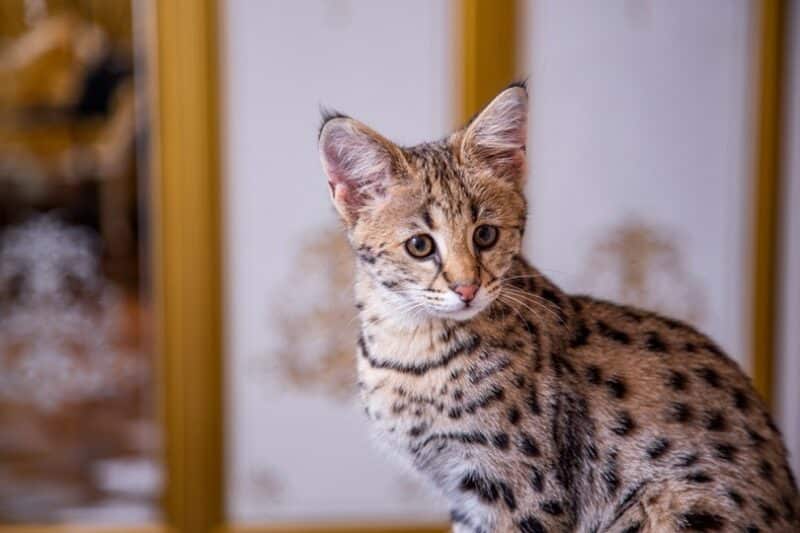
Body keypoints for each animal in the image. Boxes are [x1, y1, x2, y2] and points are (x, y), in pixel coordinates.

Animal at [316, 83, 796, 532]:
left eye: (485, 235)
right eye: (420, 246)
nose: (468, 288)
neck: (408, 345)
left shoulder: (521, 492)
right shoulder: (466, 497)